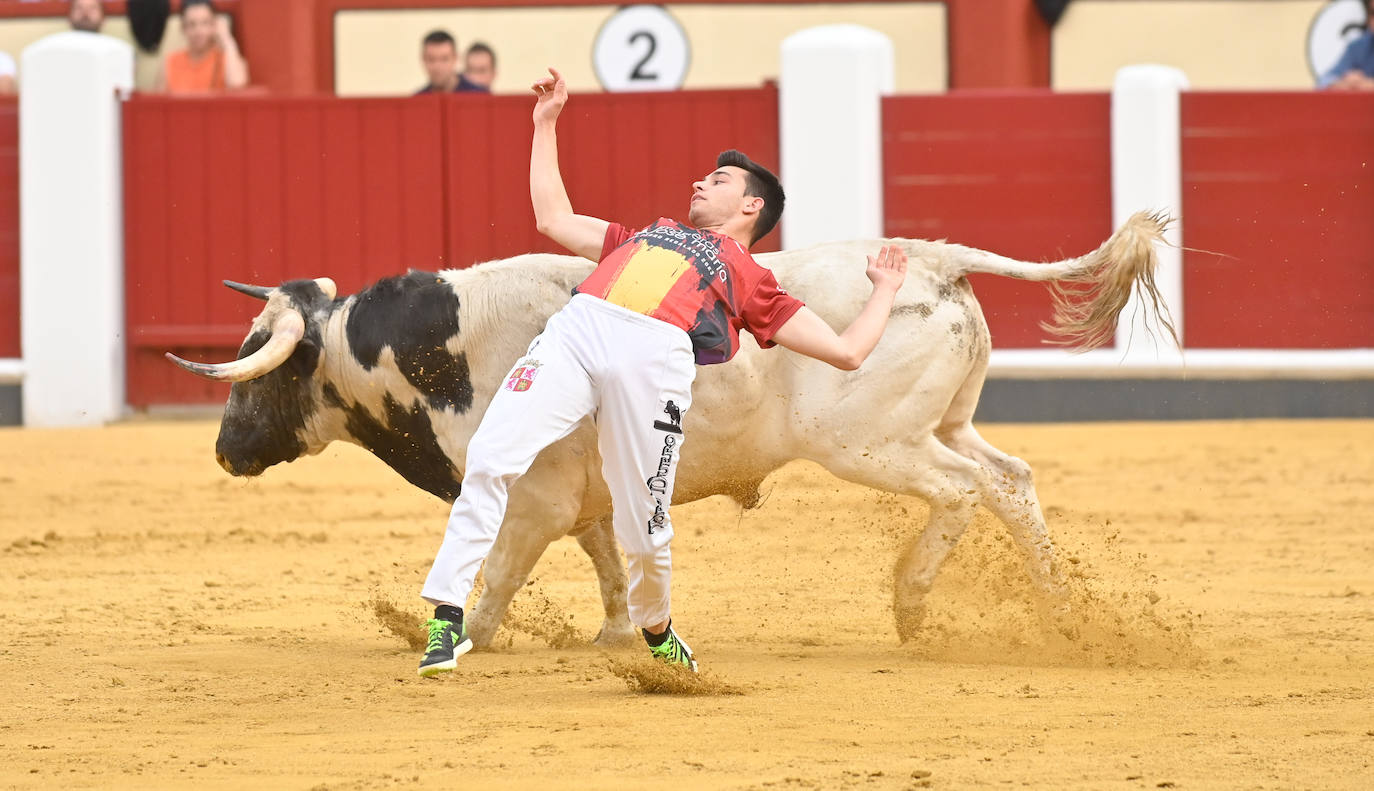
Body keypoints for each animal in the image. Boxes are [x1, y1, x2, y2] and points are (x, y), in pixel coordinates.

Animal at [169, 211, 1181, 648]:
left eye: (259, 360)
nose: (223, 449)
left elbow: (499, 570)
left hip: (870, 444)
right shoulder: (580, 495)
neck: (441, 349)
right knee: (1009, 479)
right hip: (946, 422)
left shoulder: (530, 496)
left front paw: (468, 637)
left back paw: (911, 602)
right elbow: (607, 561)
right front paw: (621, 632)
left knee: (965, 490)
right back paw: (1059, 614)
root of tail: (929, 257)